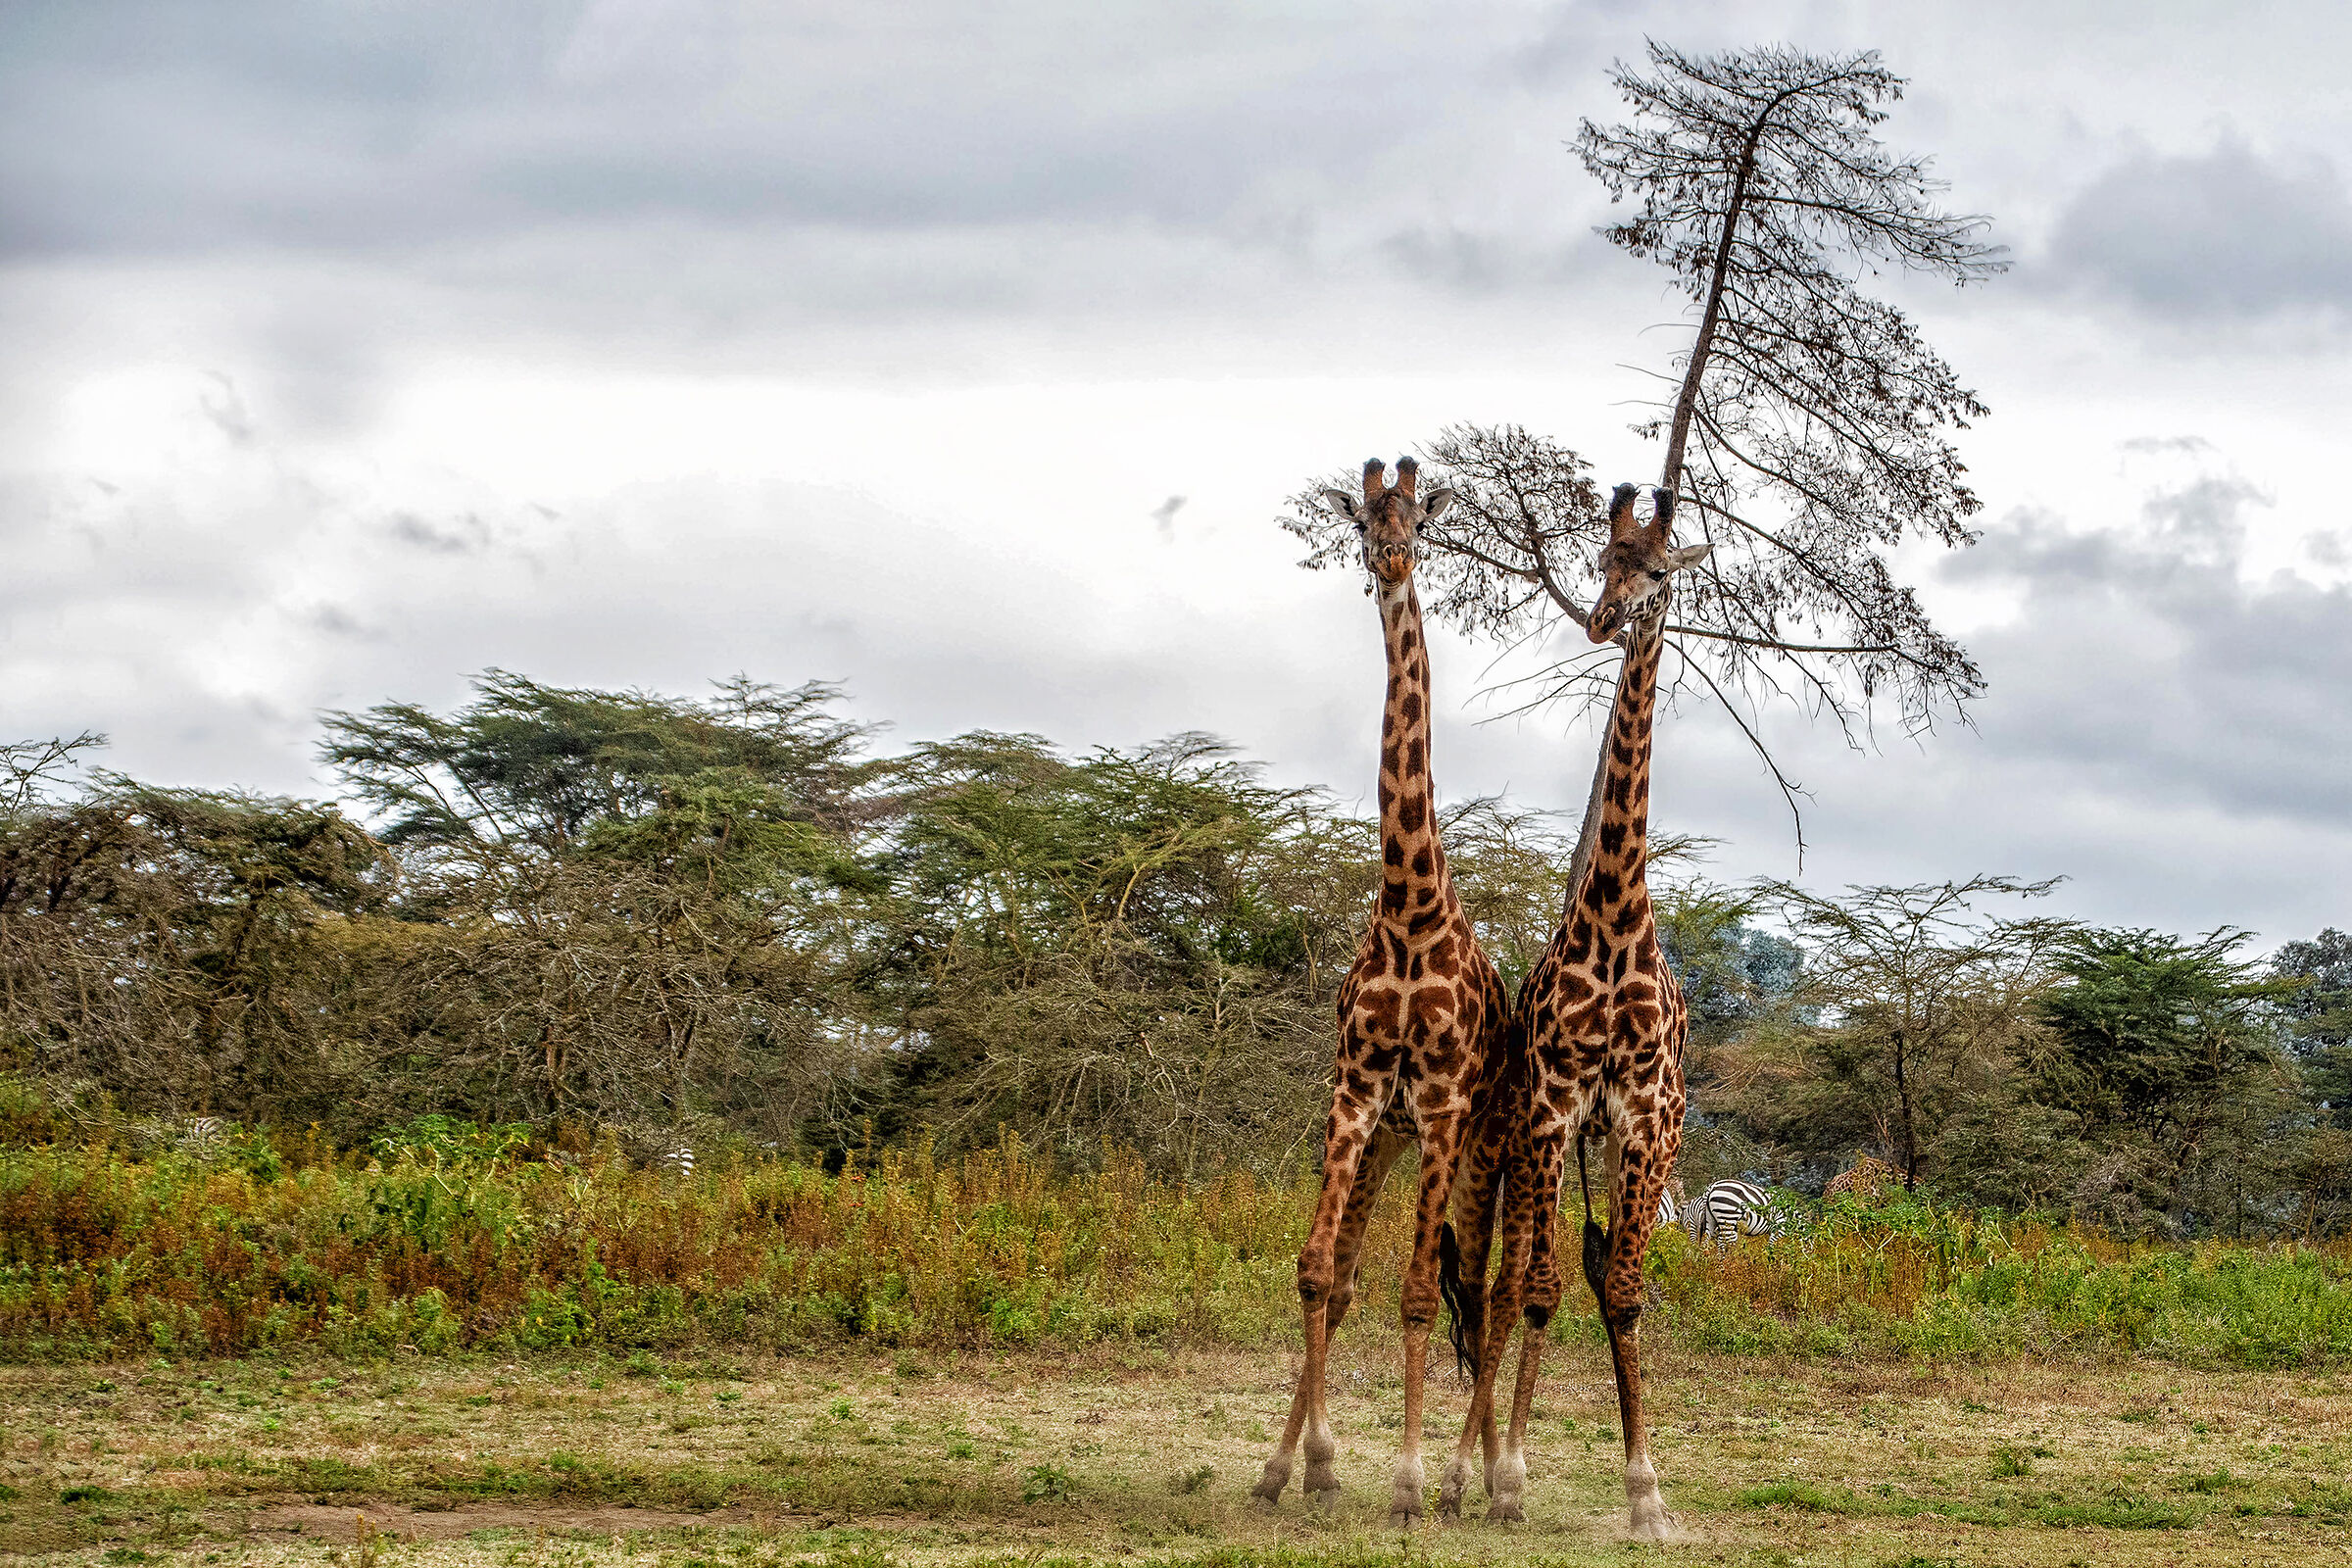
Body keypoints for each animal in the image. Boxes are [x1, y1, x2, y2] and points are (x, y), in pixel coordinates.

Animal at [1438, 482, 1709, 1539]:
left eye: (1660, 570)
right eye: (1602, 560)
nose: (1604, 619)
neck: (1616, 916)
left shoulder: (1648, 1119)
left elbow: (1623, 1291)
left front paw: (1648, 1493)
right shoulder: (1556, 1107)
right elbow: (1543, 1287)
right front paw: (1510, 1473)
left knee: (1572, 1275)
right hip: (1522, 1138)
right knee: (1511, 1278)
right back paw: (1468, 1476)